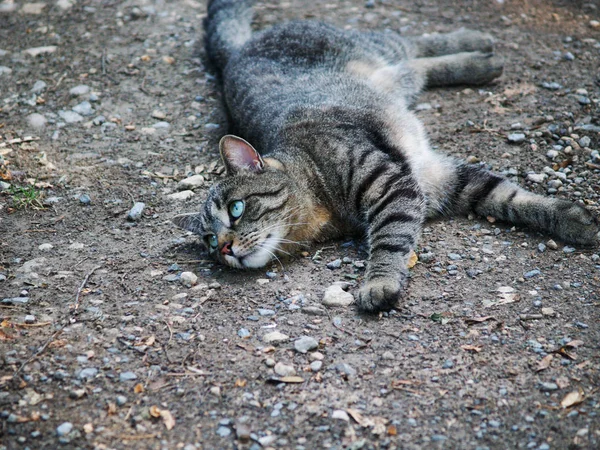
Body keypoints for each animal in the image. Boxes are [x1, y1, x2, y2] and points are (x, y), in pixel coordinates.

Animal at [171, 0, 596, 312]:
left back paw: (478, 44)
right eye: (208, 241)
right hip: (391, 78)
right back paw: (482, 61)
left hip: (375, 47)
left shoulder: (392, 186)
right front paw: (573, 219)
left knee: (411, 44)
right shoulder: (439, 180)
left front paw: (379, 282)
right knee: (416, 67)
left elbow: (391, 240)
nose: (225, 249)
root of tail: (237, 51)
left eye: (237, 209)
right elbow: (508, 197)